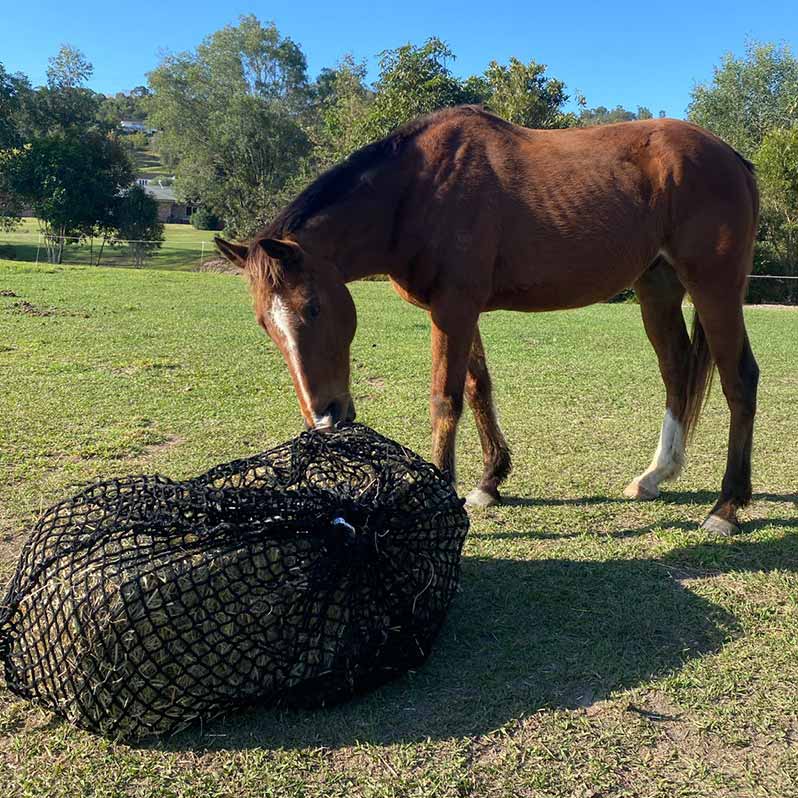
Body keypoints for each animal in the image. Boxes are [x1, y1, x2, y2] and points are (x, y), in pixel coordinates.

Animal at [215, 105, 760, 535]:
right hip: (658, 289)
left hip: (714, 288)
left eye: (313, 307)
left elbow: (445, 400)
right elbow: (478, 389)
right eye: (265, 324)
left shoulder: (453, 309)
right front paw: (490, 482)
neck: (418, 191)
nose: (325, 419)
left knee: (739, 379)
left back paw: (726, 507)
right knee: (677, 372)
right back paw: (655, 476)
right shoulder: (462, 311)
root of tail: (732, 158)